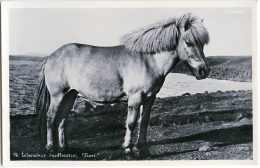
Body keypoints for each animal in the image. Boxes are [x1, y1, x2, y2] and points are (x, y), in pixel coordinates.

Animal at [35, 12, 209, 159]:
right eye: (189, 42)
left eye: (202, 44)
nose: (204, 71)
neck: (148, 60)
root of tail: (50, 57)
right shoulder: (135, 98)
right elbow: (131, 123)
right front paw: (128, 150)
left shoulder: (150, 98)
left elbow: (144, 122)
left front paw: (144, 150)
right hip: (58, 95)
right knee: (51, 117)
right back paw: (50, 149)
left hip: (70, 94)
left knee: (62, 119)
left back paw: (64, 149)